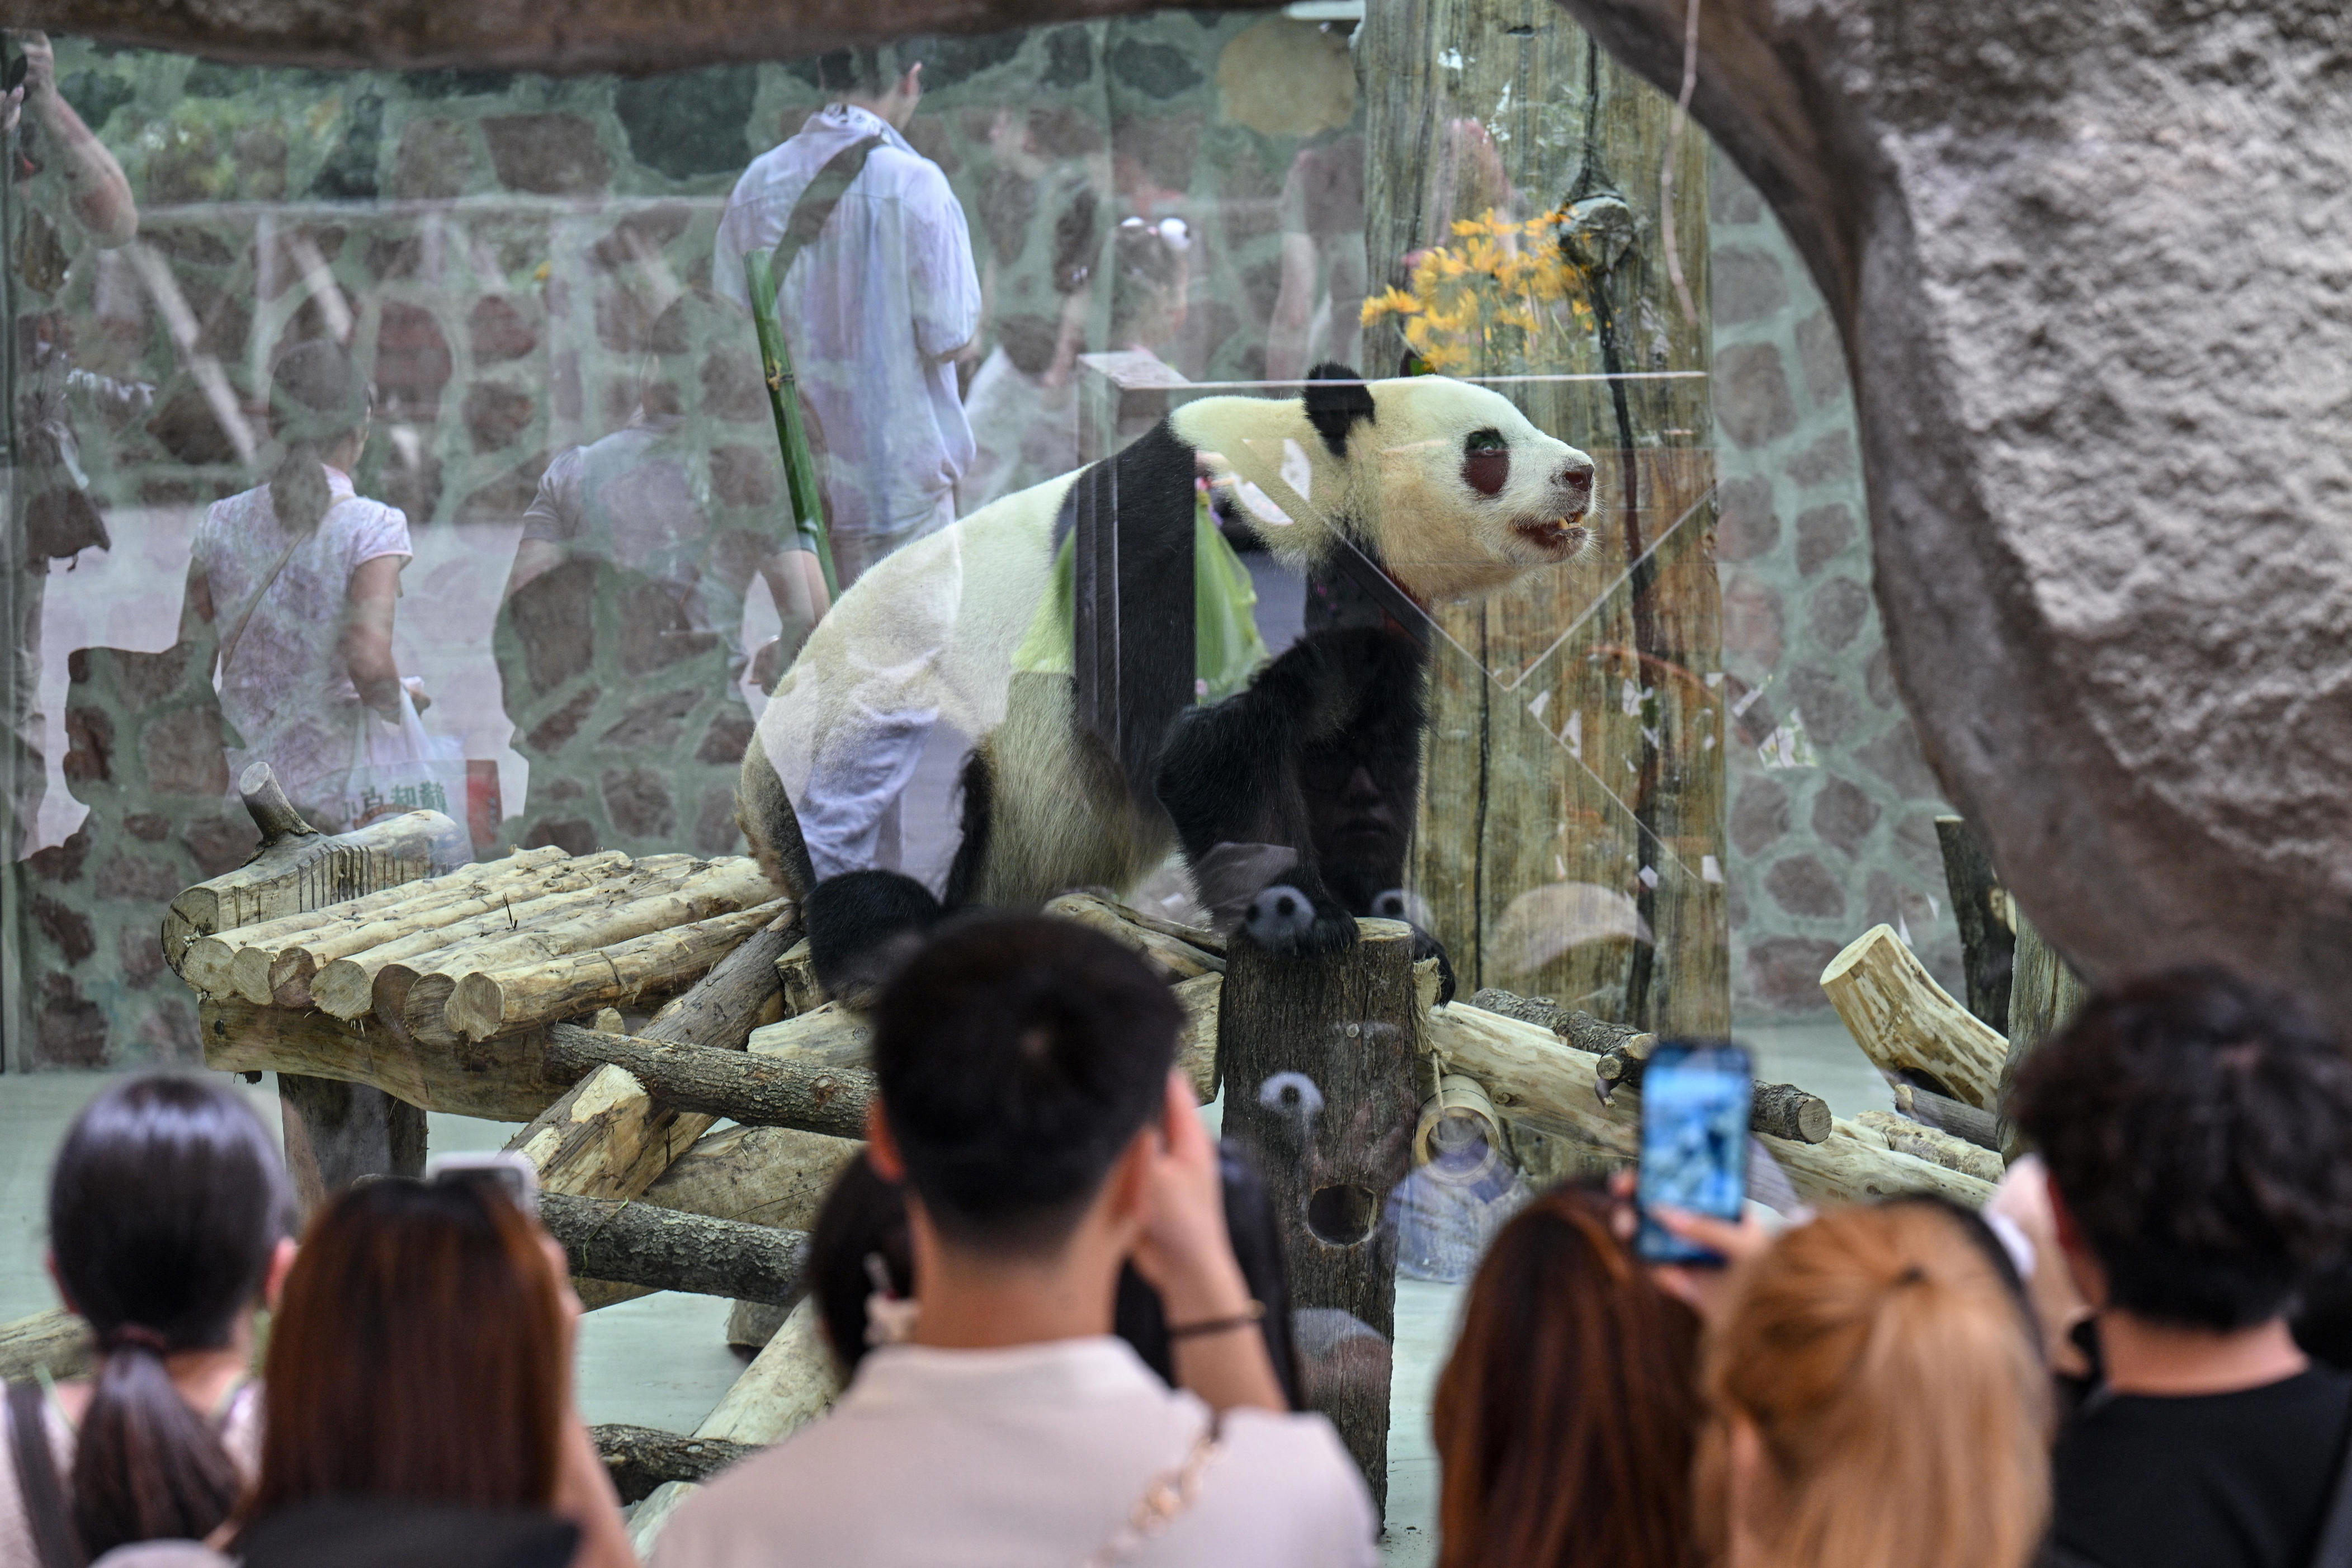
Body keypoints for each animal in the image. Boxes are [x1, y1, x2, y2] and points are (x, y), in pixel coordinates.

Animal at [737, 364, 1597, 991]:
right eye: (1487, 446)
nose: (1581, 471)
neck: (1310, 488)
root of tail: (757, 826)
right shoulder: (1182, 553)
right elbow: (1206, 745)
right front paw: (1304, 920)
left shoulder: (1366, 623)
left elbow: (1358, 757)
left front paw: (1406, 932)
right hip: (867, 715)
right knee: (890, 812)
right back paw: (888, 952)